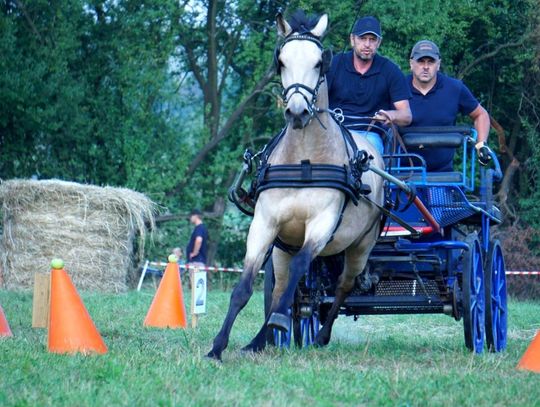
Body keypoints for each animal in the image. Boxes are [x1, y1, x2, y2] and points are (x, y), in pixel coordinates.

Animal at [207, 11, 384, 361]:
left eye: (319, 63)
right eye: (281, 61)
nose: (298, 111)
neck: (304, 160)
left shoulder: (322, 224)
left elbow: (303, 267)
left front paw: (278, 321)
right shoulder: (265, 224)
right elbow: (244, 288)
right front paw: (218, 347)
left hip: (360, 246)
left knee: (342, 286)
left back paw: (320, 335)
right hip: (282, 247)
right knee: (281, 287)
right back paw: (258, 342)